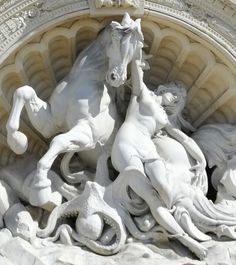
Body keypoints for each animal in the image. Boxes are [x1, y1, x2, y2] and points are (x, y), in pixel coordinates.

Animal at [6, 13, 144, 205]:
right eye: (118, 38)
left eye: (138, 47)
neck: (83, 78)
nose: (117, 78)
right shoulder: (50, 123)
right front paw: (18, 142)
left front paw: (40, 187)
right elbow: (24, 91)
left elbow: (58, 141)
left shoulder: (88, 134)